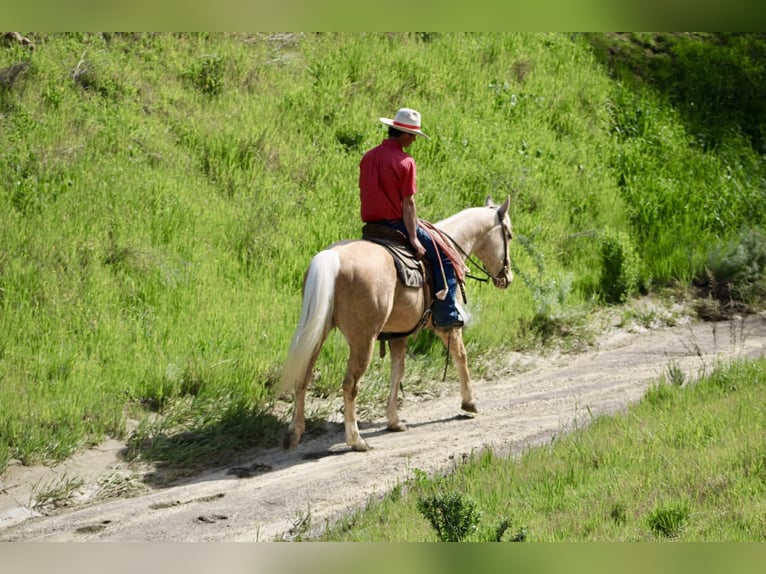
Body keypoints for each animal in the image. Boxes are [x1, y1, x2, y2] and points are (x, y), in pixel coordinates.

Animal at [279, 196, 513, 452]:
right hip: (363, 341)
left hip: (317, 332)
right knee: (350, 384)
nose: (508, 278)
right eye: (509, 235)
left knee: (303, 376)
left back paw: (294, 433)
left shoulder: (398, 334)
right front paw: (469, 402)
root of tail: (334, 258)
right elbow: (461, 355)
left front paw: (394, 420)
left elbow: (397, 371)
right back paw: (356, 440)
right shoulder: (446, 326)